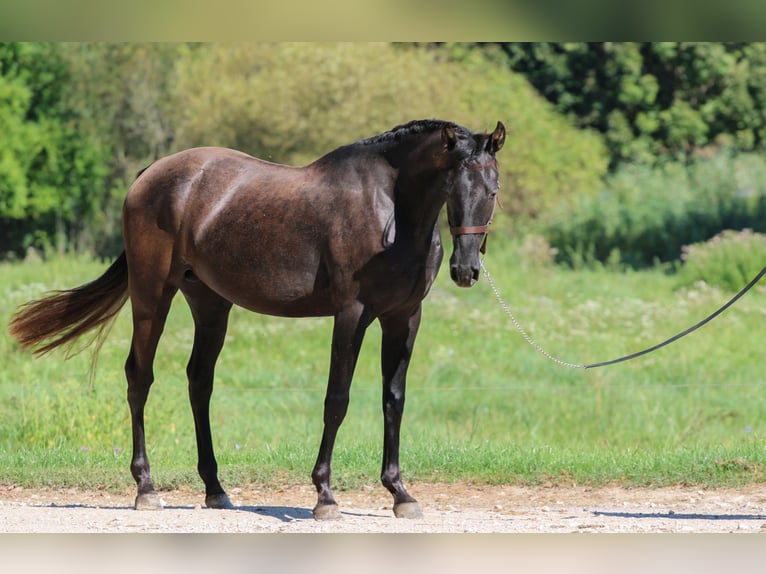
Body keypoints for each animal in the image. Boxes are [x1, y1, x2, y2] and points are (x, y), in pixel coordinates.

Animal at [10, 120, 510, 520]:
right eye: (453, 188)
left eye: (492, 190)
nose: (466, 269)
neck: (389, 211)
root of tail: (149, 174)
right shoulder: (351, 315)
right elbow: (337, 400)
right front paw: (325, 496)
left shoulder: (404, 318)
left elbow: (394, 401)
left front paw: (400, 494)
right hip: (152, 296)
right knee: (140, 377)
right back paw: (146, 488)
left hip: (210, 304)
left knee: (199, 382)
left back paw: (215, 489)